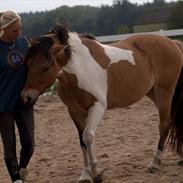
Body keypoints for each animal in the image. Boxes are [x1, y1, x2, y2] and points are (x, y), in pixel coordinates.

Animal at [21, 23, 183, 183]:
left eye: (45, 68)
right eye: (27, 64)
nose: (26, 97)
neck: (80, 67)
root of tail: (172, 43)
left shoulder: (97, 106)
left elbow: (88, 136)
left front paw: (97, 173)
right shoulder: (74, 111)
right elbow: (82, 142)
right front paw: (86, 175)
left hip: (164, 93)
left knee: (164, 126)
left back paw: (155, 163)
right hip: (154, 94)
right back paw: (180, 158)